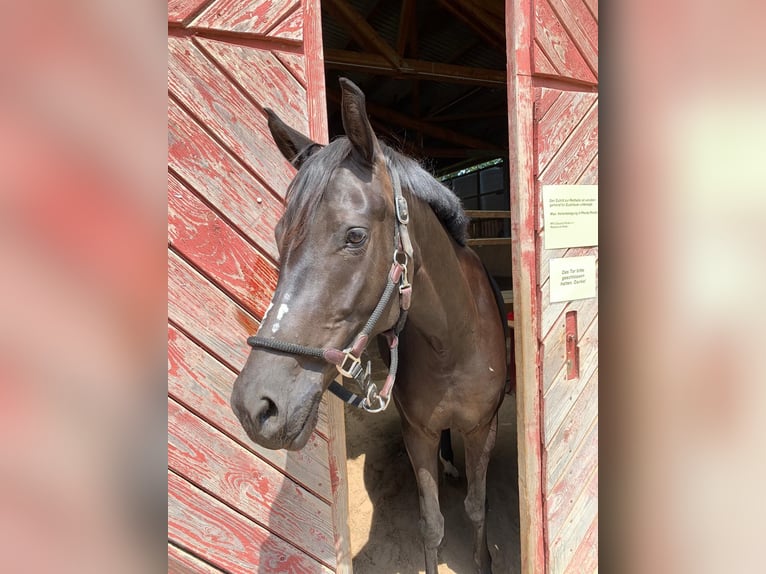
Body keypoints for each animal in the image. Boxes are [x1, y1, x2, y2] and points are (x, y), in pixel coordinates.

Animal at [234, 77, 510, 574]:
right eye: (280, 236)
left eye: (355, 236)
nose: (255, 406)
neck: (453, 343)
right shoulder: (417, 433)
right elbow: (431, 524)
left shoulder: (484, 429)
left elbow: (477, 509)